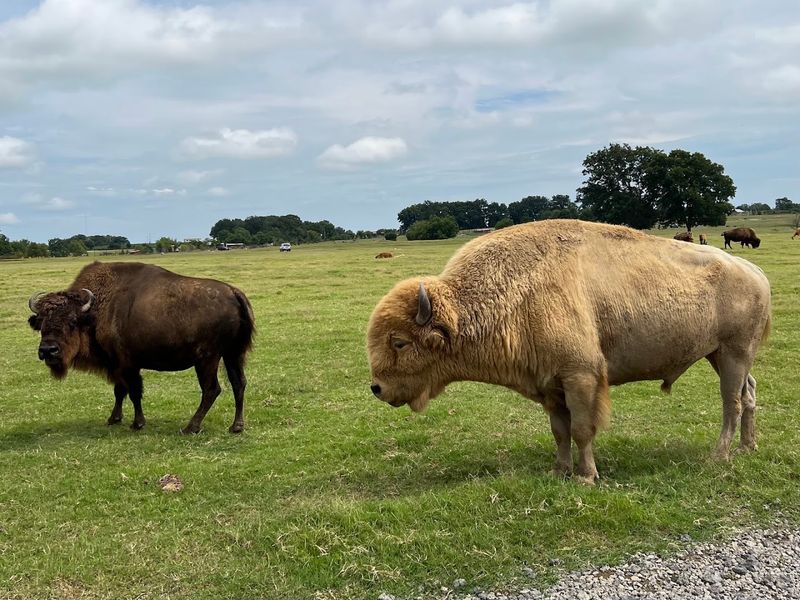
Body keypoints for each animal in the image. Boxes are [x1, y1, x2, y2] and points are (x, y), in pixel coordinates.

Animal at [28, 262, 255, 433]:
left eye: (72, 322)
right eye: (41, 323)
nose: (48, 350)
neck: (95, 311)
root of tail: (233, 292)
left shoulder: (127, 364)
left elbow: (134, 391)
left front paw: (137, 423)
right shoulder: (117, 366)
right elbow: (119, 391)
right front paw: (114, 419)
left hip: (207, 359)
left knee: (211, 389)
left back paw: (190, 427)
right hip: (233, 354)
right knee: (239, 383)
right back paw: (236, 427)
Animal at [367, 220, 771, 483]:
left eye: (400, 342)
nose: (377, 388)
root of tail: (756, 273)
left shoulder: (580, 377)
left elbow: (581, 429)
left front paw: (586, 477)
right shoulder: (550, 386)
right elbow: (560, 431)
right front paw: (559, 470)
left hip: (733, 352)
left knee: (732, 402)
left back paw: (718, 456)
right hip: (721, 355)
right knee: (749, 393)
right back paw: (748, 448)